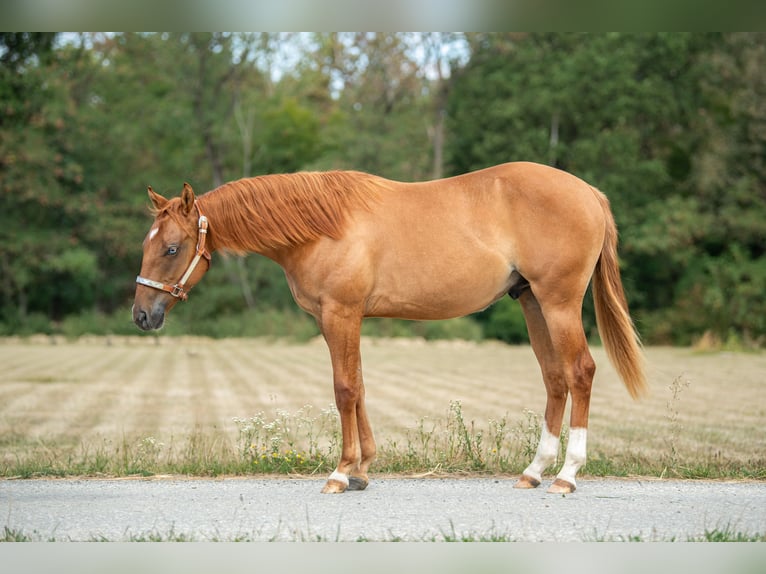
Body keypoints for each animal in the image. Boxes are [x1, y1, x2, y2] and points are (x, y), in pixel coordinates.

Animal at [132, 161, 646, 494]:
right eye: (147, 244)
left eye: (172, 248)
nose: (142, 315)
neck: (322, 226)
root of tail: (589, 192)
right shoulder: (340, 319)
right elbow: (358, 386)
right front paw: (362, 470)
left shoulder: (340, 314)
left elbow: (343, 389)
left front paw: (341, 473)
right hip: (533, 303)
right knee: (555, 379)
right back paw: (534, 471)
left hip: (559, 303)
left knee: (580, 372)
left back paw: (567, 475)